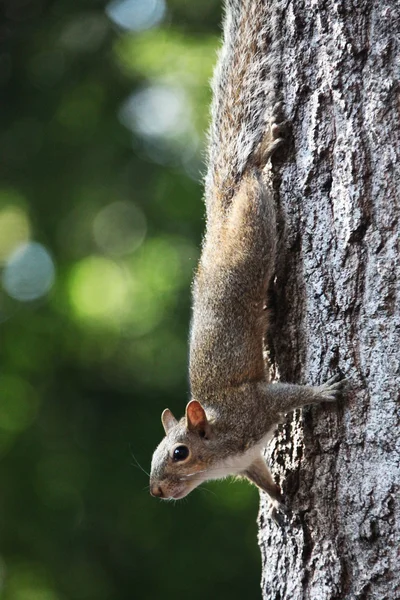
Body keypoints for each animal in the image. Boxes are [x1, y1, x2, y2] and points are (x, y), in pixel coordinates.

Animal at [148, 0, 342, 516]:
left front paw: (326, 390)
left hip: (254, 226)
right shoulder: (248, 460)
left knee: (252, 174)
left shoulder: (255, 406)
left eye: (180, 452)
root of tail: (219, 216)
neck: (219, 441)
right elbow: (265, 479)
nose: (155, 491)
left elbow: (290, 392)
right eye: (156, 455)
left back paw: (262, 150)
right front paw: (286, 502)